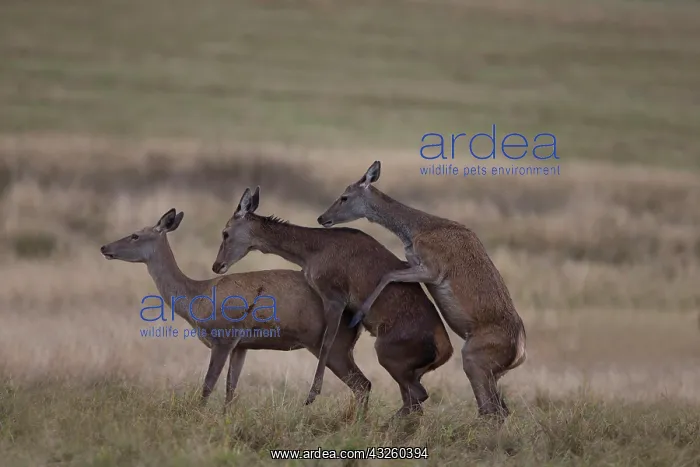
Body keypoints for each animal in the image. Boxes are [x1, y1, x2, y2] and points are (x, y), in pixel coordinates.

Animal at [100, 208, 371, 413]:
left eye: (135, 235)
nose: (104, 248)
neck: (197, 298)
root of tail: (357, 319)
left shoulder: (224, 337)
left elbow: (208, 384)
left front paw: (198, 417)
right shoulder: (242, 345)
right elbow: (230, 390)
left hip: (333, 346)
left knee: (363, 384)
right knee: (363, 385)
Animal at [211, 186, 454, 419]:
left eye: (225, 232)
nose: (217, 265)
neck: (312, 251)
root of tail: (446, 351)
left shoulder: (334, 295)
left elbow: (327, 342)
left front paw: (311, 395)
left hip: (388, 355)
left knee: (415, 395)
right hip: (406, 369)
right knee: (409, 399)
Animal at [316, 161, 527, 419]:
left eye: (344, 197)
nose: (322, 218)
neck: (416, 231)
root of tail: (520, 352)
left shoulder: (433, 269)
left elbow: (388, 275)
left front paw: (358, 316)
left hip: (474, 359)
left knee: (491, 410)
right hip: (493, 372)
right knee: (499, 409)